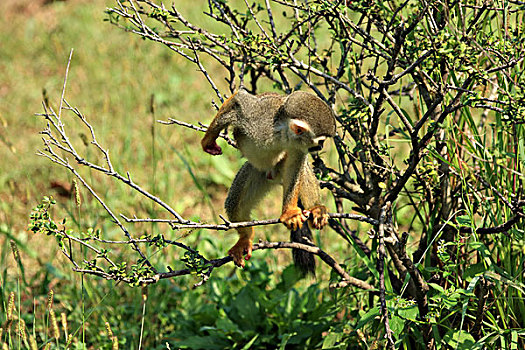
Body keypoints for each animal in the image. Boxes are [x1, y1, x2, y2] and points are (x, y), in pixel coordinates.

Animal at [201, 89, 336, 268]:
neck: (281, 135)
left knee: (302, 167)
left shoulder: (297, 145)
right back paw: (245, 238)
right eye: (320, 141)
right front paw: (208, 140)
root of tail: (275, 177)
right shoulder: (258, 119)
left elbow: (296, 164)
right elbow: (239, 99)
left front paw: (289, 212)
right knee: (235, 205)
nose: (320, 147)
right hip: (256, 172)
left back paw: (315, 207)